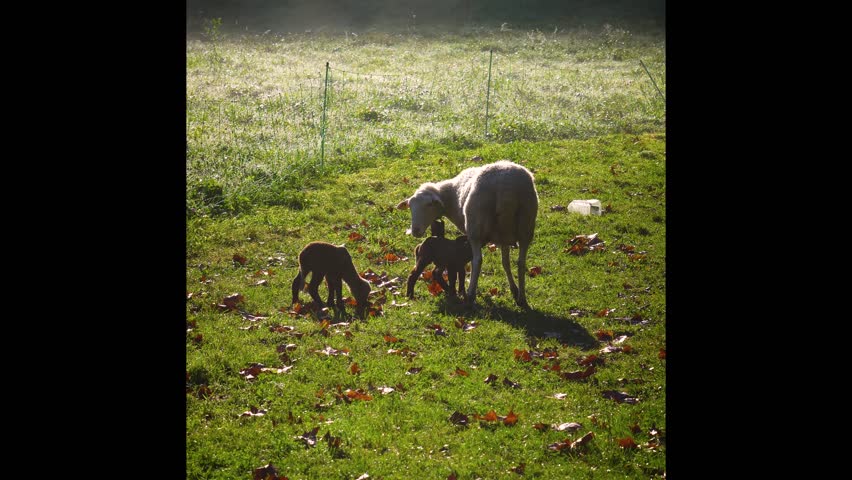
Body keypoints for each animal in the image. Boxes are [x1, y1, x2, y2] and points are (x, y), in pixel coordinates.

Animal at [397, 160, 539, 308]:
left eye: (429, 205)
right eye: (410, 207)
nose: (415, 231)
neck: (451, 194)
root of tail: (506, 188)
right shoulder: (503, 237)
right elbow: (505, 263)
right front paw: (513, 289)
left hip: (475, 225)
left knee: (478, 260)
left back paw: (471, 294)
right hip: (526, 224)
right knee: (521, 263)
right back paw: (522, 297)